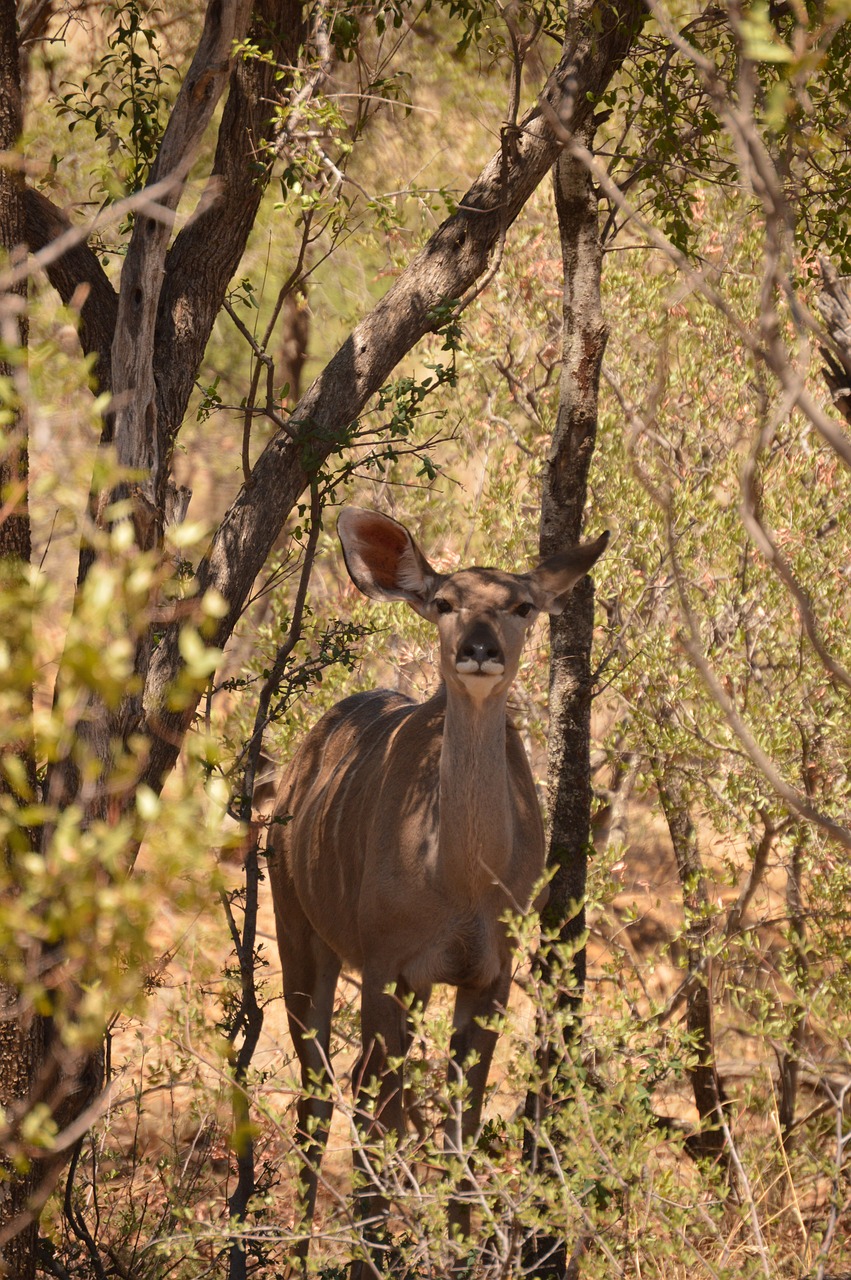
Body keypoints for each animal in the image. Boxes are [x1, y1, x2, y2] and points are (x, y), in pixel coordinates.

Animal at [268, 506, 606, 1269]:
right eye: (445, 602)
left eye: (521, 605)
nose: (479, 651)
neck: (458, 882)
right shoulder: (385, 964)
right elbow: (375, 1105)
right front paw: (376, 1252)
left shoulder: (487, 975)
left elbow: (463, 1117)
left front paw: (455, 1246)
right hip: (299, 931)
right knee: (322, 1090)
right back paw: (299, 1249)